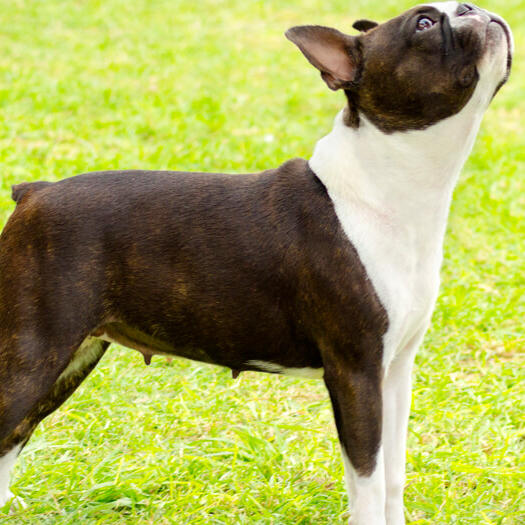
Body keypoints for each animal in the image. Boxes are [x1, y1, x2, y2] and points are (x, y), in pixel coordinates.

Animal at [0, 2, 510, 520]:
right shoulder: (356, 372)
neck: (387, 185)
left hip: (71, 359)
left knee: (14, 434)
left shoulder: (396, 370)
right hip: (35, 351)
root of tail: (34, 192)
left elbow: (392, 475)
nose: (472, 8)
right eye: (424, 23)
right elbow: (366, 477)